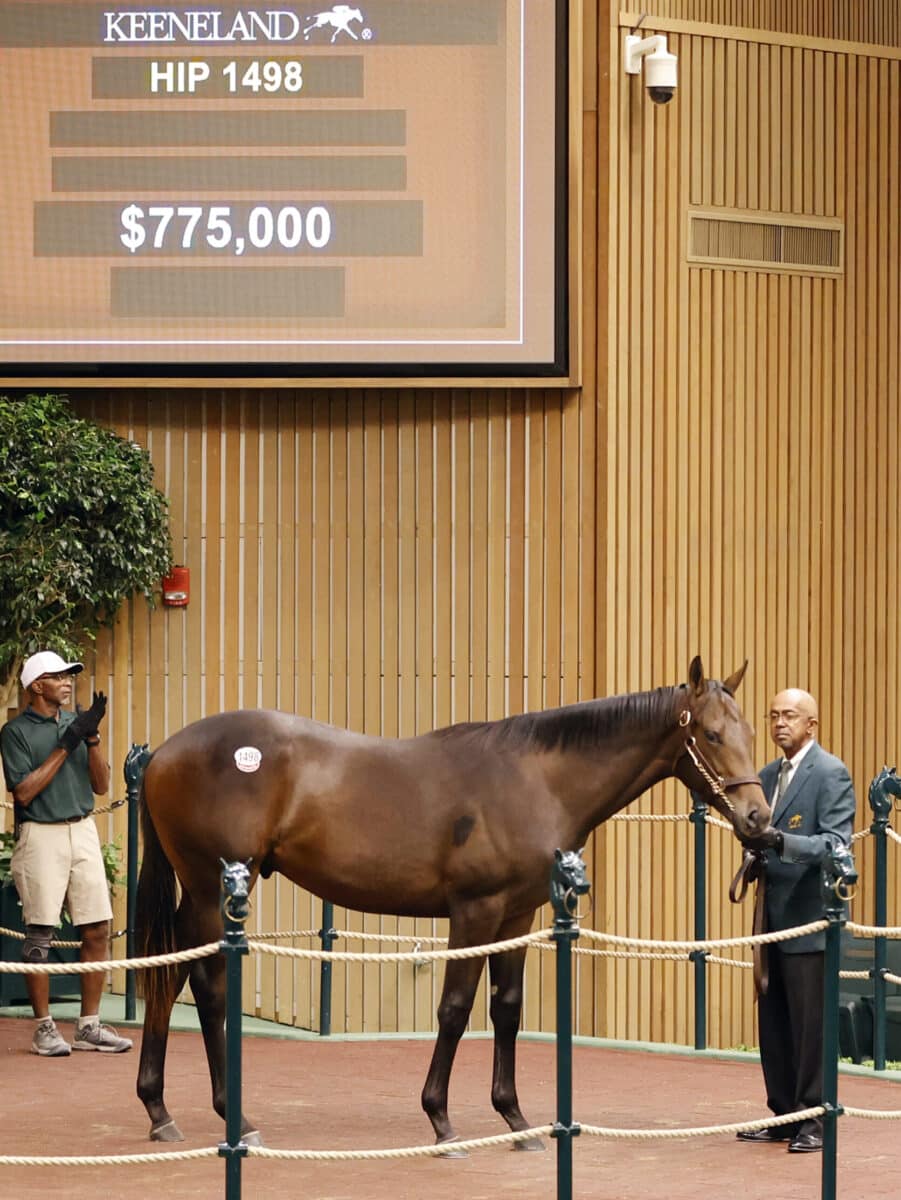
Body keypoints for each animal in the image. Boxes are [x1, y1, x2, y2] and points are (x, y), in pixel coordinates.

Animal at [133, 662, 767, 1147]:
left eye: (750, 734)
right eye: (711, 734)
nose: (759, 818)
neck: (537, 780)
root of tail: (162, 753)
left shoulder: (518, 916)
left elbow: (506, 1010)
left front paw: (516, 1119)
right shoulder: (475, 912)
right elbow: (456, 1010)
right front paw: (440, 1119)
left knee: (168, 975)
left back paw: (159, 1110)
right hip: (210, 893)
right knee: (207, 989)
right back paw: (232, 1116)